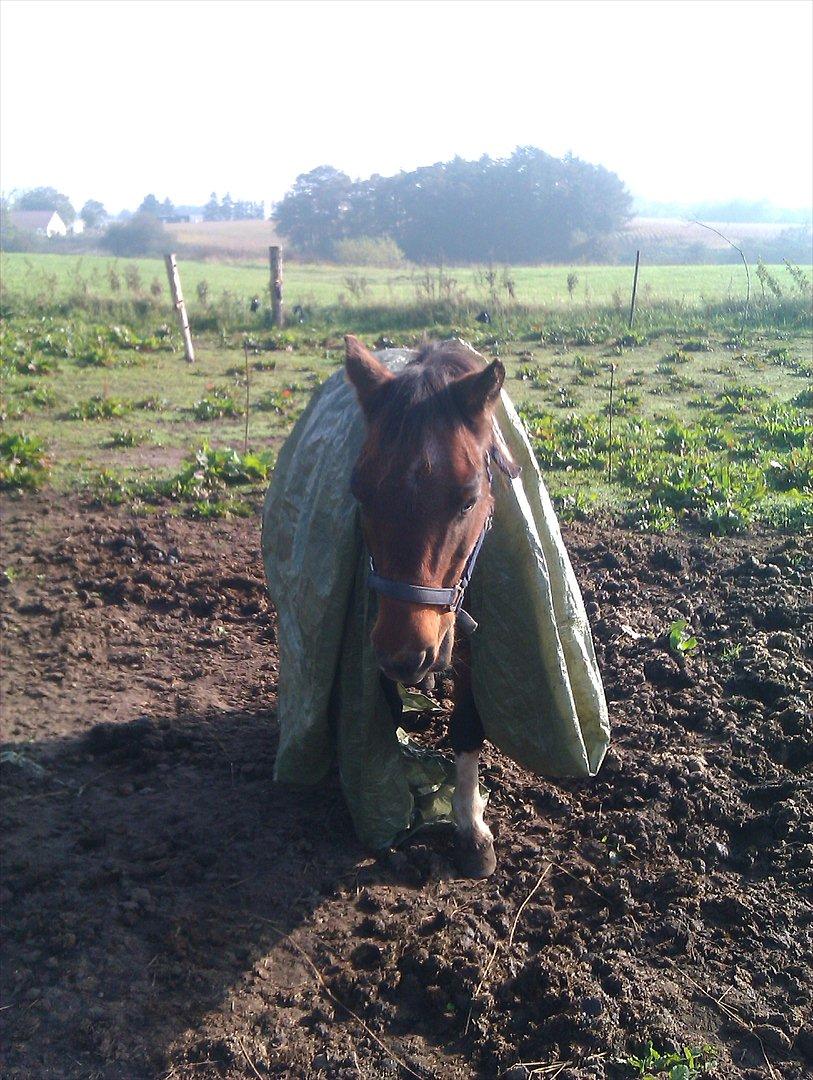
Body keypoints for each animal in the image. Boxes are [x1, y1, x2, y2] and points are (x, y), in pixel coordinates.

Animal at [345, 334, 516, 876]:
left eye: (468, 500)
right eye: (360, 492)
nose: (405, 653)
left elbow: (467, 726)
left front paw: (471, 829)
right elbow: (383, 711)